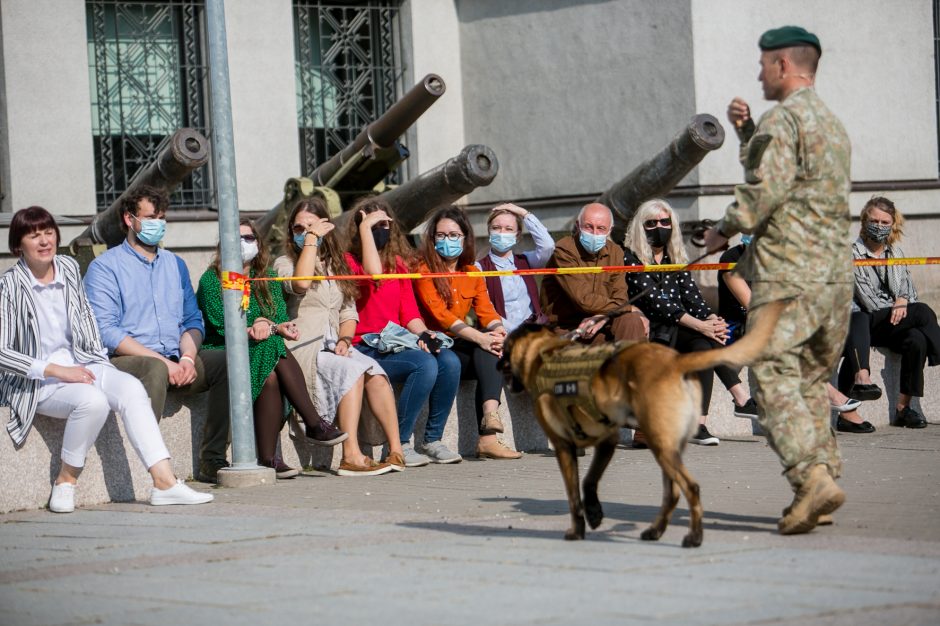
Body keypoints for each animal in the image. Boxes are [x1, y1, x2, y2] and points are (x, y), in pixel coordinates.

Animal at [500, 300, 784, 544]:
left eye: (504, 350)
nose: (496, 364)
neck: (543, 355)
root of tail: (675, 360)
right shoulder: (607, 441)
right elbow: (589, 481)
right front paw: (594, 513)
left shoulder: (564, 447)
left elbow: (574, 495)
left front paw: (577, 529)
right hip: (668, 447)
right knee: (673, 493)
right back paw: (656, 531)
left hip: (661, 445)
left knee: (690, 488)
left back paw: (693, 537)